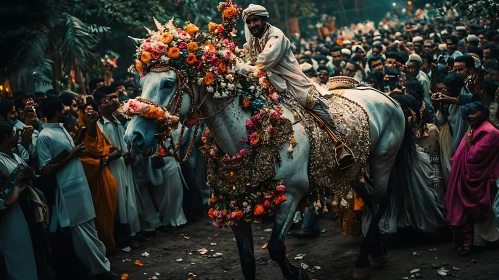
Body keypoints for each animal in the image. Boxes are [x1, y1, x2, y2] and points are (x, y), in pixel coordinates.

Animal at [124, 68, 410, 280]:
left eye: (168, 83)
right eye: (142, 82)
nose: (132, 137)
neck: (248, 135)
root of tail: (387, 97)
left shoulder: (292, 194)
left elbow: (275, 248)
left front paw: (297, 274)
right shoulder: (234, 205)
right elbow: (247, 261)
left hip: (383, 159)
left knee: (380, 200)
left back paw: (362, 262)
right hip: (351, 170)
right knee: (371, 199)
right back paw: (376, 253)